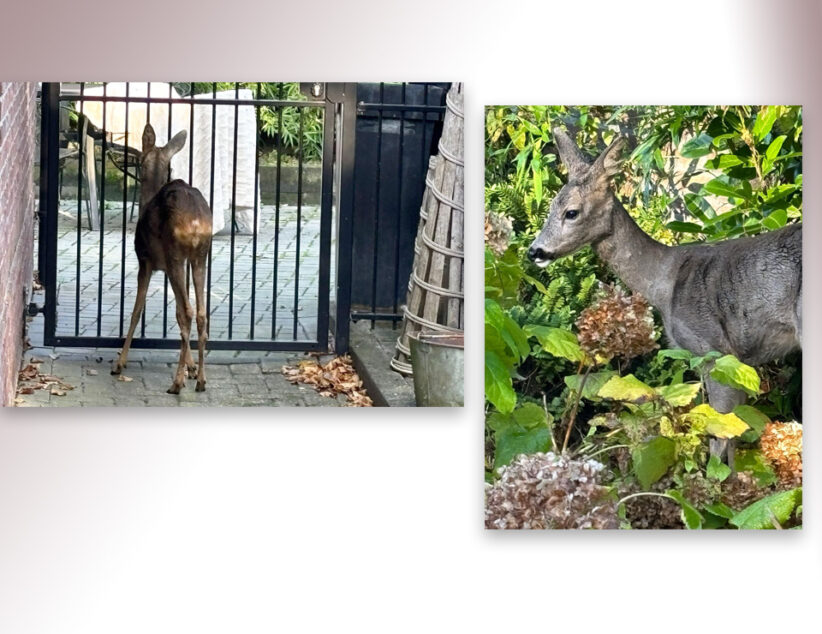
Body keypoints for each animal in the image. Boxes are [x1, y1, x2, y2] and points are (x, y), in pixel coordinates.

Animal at [111, 121, 214, 392]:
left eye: (140, 159)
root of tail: (196, 222)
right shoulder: (173, 266)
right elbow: (176, 312)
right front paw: (191, 367)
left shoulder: (145, 260)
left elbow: (137, 310)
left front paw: (120, 363)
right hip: (199, 256)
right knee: (200, 312)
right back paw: (201, 380)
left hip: (174, 253)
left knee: (188, 312)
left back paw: (176, 383)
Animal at [528, 127, 804, 460]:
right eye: (549, 208)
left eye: (571, 212)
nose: (535, 251)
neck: (663, 283)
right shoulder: (738, 363)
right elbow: (733, 435)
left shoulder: (715, 351)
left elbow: (719, 435)